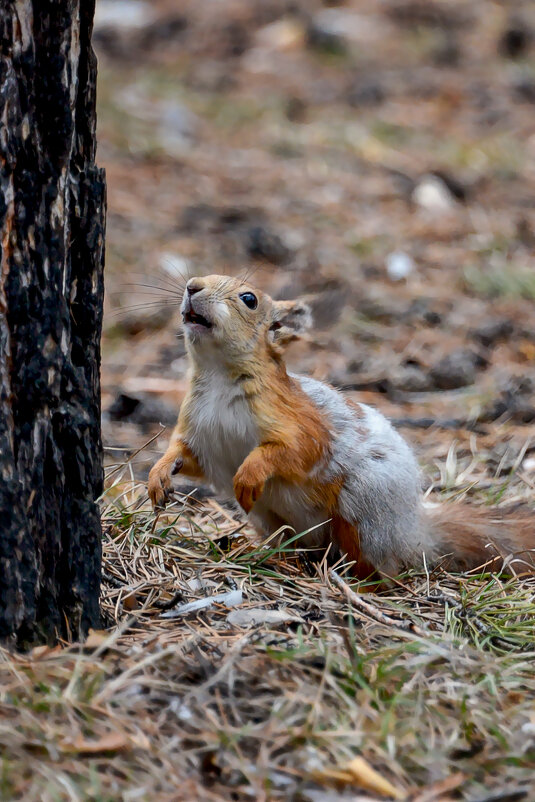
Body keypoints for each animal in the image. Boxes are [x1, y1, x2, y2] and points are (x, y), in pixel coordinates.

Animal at [149, 274, 535, 576]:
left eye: (249, 299)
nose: (192, 285)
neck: (217, 377)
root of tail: (414, 532)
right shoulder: (202, 435)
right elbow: (185, 455)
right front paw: (159, 475)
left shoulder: (301, 423)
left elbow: (290, 452)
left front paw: (249, 473)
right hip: (269, 518)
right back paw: (271, 556)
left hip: (361, 514)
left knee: (383, 570)